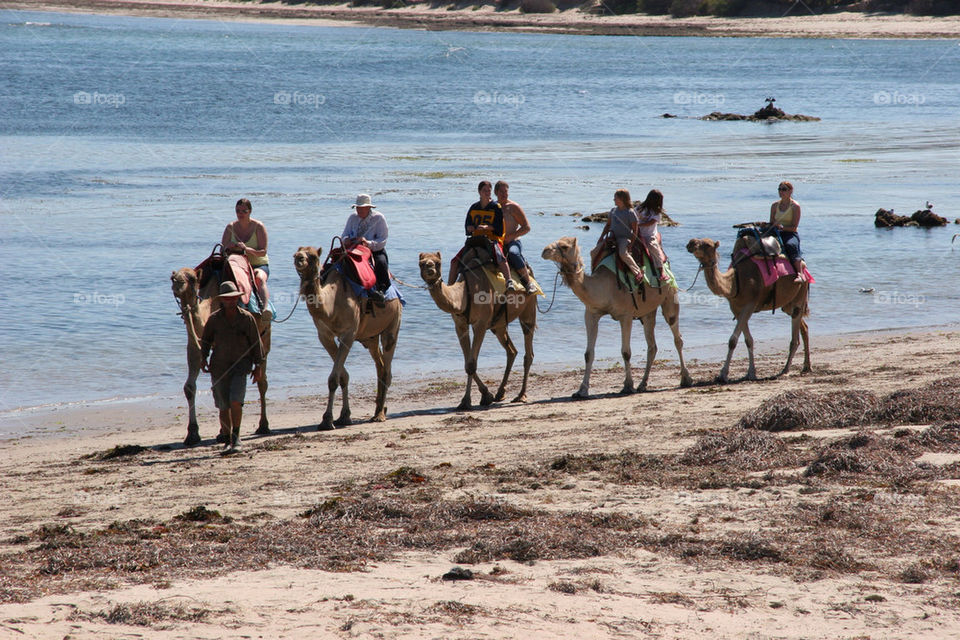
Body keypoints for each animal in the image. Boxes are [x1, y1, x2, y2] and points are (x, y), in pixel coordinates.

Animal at [290, 245, 400, 430]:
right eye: (296, 253)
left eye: (313, 256)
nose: (299, 258)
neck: (330, 305)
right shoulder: (324, 336)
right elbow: (342, 376)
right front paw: (343, 416)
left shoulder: (348, 333)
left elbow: (334, 378)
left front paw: (327, 420)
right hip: (370, 337)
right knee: (380, 365)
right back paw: (379, 408)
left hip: (392, 324)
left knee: (386, 368)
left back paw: (379, 415)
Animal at [418, 248, 536, 408]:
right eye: (421, 263)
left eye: (438, 263)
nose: (430, 268)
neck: (464, 293)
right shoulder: (460, 325)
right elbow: (467, 364)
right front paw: (483, 396)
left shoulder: (480, 324)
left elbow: (471, 364)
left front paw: (470, 400)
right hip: (498, 325)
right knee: (511, 351)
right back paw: (500, 393)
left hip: (528, 308)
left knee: (528, 350)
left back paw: (521, 395)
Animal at [540, 238, 688, 398]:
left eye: (564, 246)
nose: (544, 251)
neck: (604, 287)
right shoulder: (591, 314)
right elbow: (588, 354)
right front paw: (581, 390)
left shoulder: (626, 316)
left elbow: (626, 352)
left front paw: (628, 386)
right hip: (648, 311)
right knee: (652, 346)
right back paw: (643, 384)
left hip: (670, 295)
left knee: (676, 336)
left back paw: (686, 379)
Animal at [684, 238, 808, 382]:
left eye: (708, 244)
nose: (690, 243)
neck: (735, 282)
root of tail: (804, 267)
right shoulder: (736, 308)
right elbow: (748, 340)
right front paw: (751, 373)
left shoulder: (750, 304)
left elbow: (732, 340)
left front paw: (723, 374)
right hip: (787, 304)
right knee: (804, 327)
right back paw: (807, 366)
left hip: (800, 293)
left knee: (795, 333)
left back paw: (785, 370)